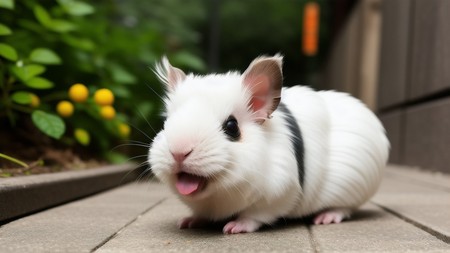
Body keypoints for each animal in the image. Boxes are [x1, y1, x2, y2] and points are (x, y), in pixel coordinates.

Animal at [149, 54, 390, 233]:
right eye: (166, 122)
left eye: (232, 127)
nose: (179, 152)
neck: (218, 197)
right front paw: (187, 222)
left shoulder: (279, 195)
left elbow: (255, 217)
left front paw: (234, 227)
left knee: (345, 208)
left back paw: (325, 217)